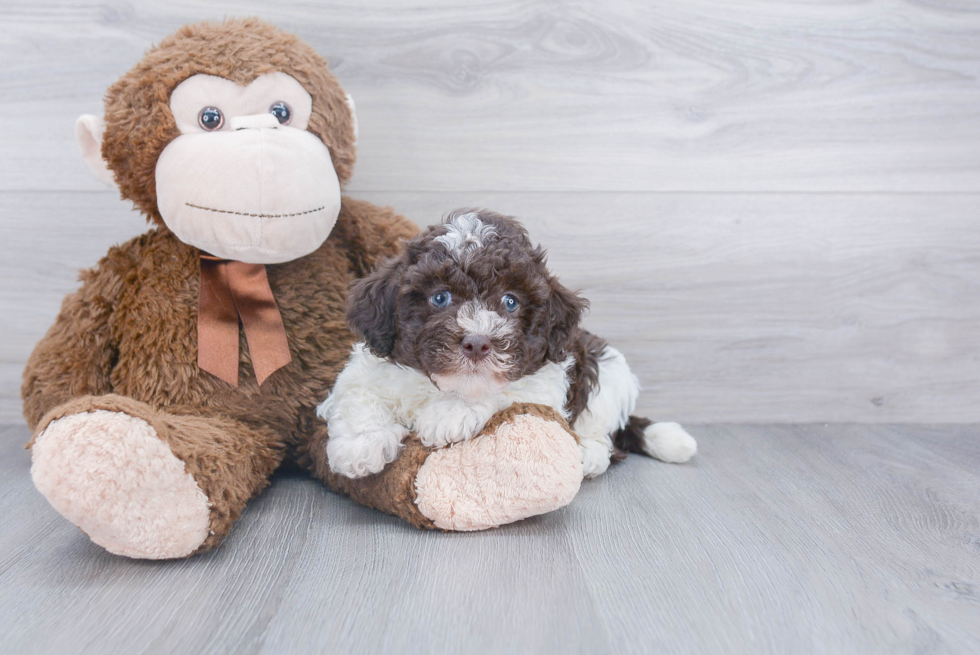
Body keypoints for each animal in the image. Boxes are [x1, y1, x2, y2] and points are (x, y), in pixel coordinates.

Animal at [316, 208, 696, 480]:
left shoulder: (543, 380)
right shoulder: (366, 369)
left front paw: (449, 414)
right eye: (440, 297)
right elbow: (359, 394)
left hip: (608, 367)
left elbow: (504, 392)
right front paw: (360, 445)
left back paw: (587, 455)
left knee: (601, 431)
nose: (477, 343)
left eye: (510, 302)